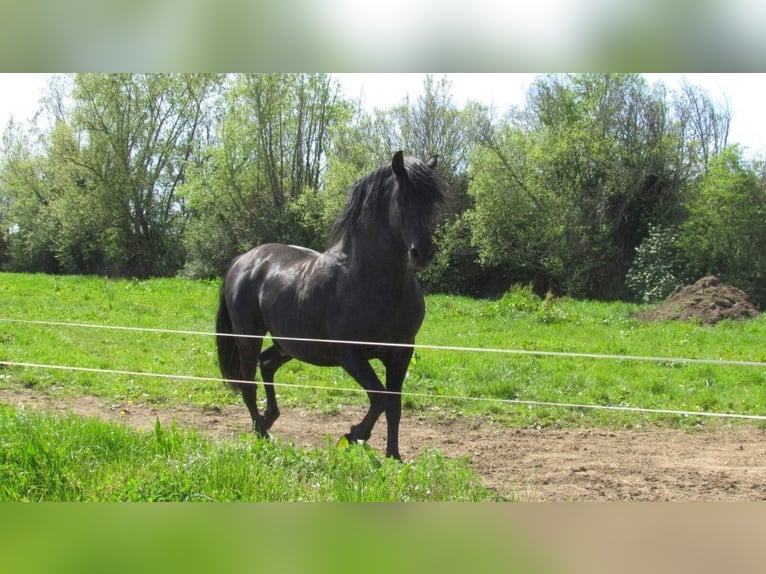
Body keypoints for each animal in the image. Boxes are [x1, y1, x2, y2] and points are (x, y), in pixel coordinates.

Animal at [216, 151, 444, 462]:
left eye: (432, 201)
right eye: (402, 198)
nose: (422, 253)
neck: (369, 279)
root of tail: (243, 260)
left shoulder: (401, 352)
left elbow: (394, 405)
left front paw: (394, 457)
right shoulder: (350, 354)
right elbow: (380, 398)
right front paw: (352, 435)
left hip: (290, 345)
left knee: (267, 364)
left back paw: (269, 418)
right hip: (248, 337)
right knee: (248, 383)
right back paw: (262, 433)